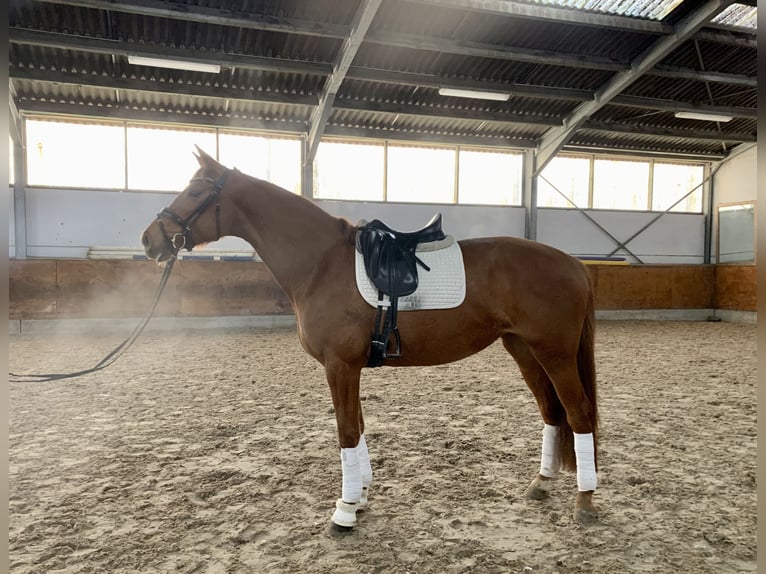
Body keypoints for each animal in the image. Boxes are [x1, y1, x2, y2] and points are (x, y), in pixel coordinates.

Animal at [141, 148, 604, 532]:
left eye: (195, 190)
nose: (150, 240)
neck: (321, 263)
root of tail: (575, 265)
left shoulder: (340, 365)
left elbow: (346, 431)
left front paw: (344, 512)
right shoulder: (350, 367)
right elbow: (359, 427)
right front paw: (360, 498)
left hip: (554, 353)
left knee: (579, 414)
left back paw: (584, 502)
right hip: (524, 350)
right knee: (552, 412)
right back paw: (541, 483)